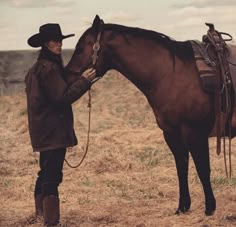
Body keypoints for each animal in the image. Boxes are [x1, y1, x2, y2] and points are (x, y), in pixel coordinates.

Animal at [65, 14, 234, 216]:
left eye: (80, 48)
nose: (65, 77)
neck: (171, 73)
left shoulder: (196, 134)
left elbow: (203, 169)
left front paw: (209, 208)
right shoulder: (172, 134)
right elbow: (181, 167)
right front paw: (183, 206)